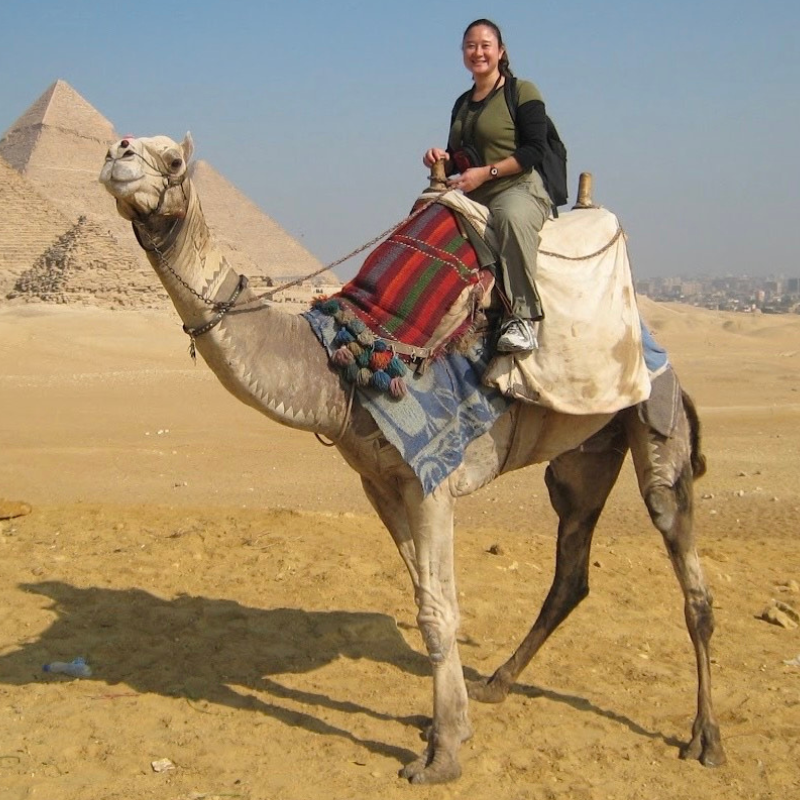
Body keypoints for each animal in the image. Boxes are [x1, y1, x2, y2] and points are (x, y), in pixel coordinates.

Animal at [98, 133, 724, 780]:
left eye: (173, 160)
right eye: (126, 143)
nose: (118, 152)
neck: (340, 366)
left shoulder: (432, 479)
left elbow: (436, 611)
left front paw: (442, 755)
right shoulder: (379, 482)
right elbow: (428, 596)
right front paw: (454, 726)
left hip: (657, 417)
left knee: (686, 569)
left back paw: (705, 738)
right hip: (581, 459)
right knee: (571, 568)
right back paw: (498, 682)